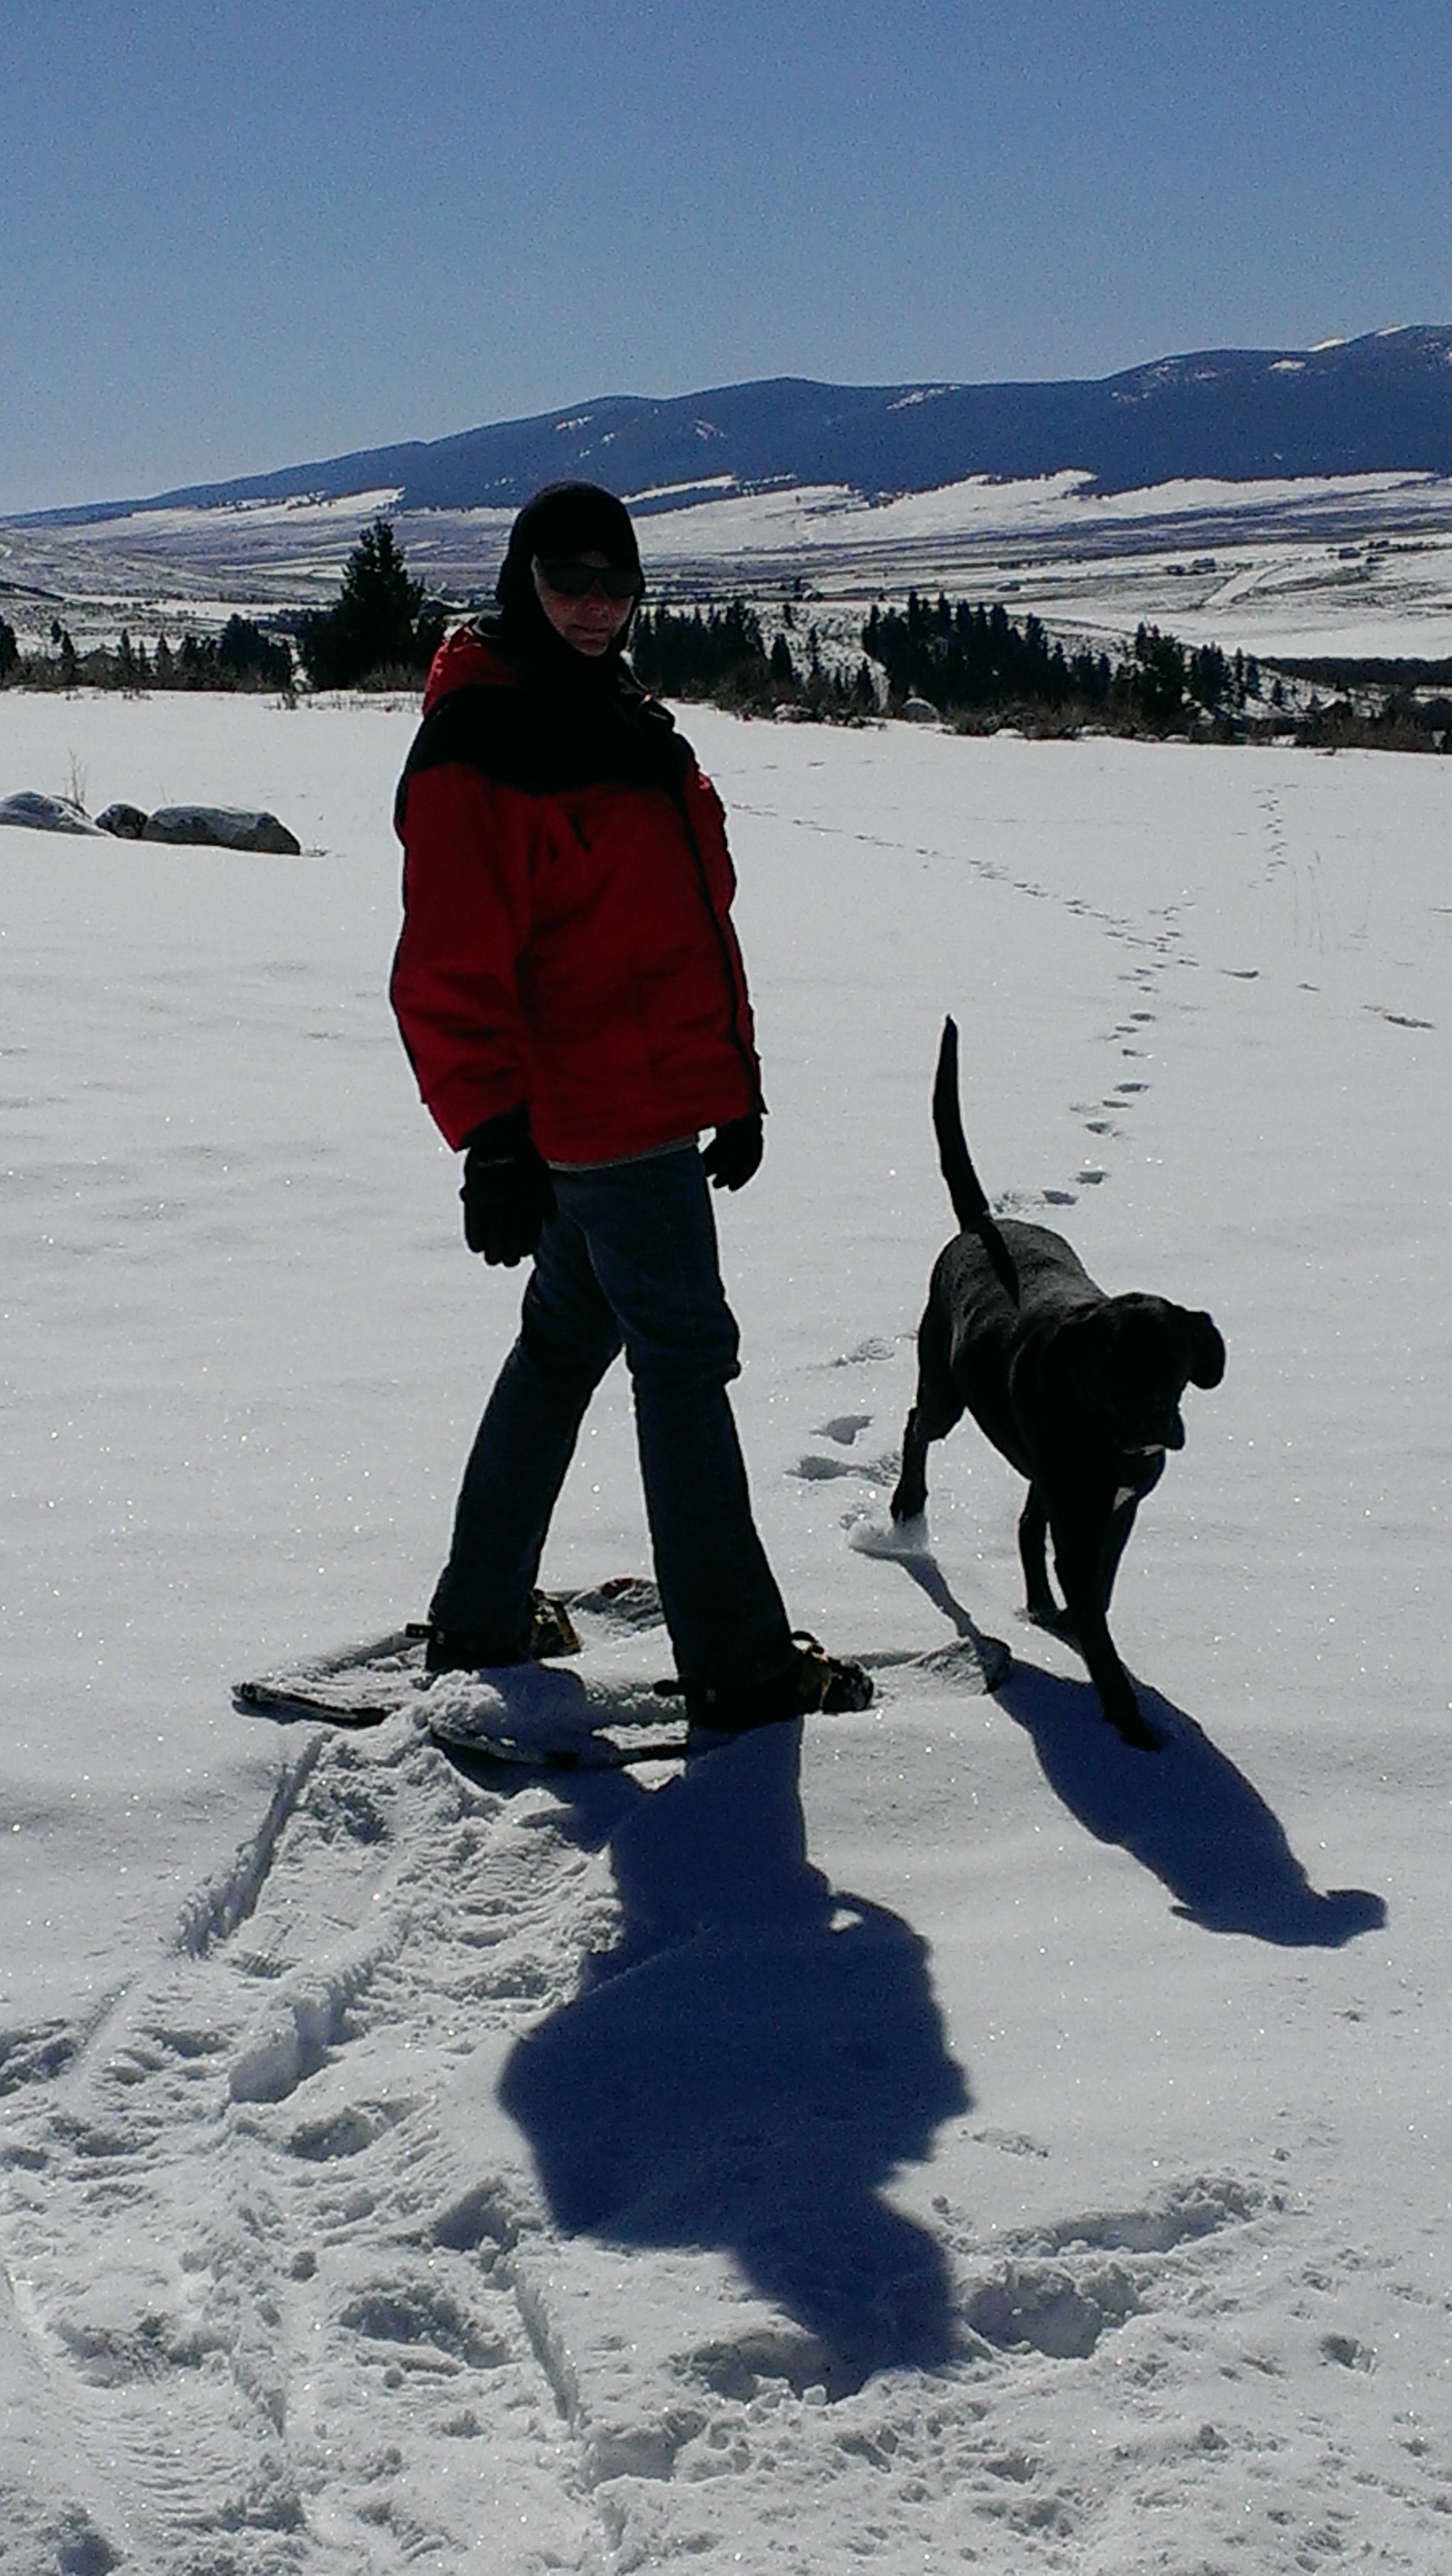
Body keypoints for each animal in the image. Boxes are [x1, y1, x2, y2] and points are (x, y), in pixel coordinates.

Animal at [890, 1018, 1225, 1750]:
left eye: (1177, 1362)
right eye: (1114, 1366)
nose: (1157, 1426)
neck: (1106, 1438)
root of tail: (982, 1225)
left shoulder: (1118, 1510)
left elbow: (1098, 1590)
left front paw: (1077, 1624)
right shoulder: (1081, 1515)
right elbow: (1093, 1611)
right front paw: (1126, 1716)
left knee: (1025, 1519)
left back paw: (1042, 1604)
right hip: (947, 1393)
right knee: (916, 1423)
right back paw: (907, 1501)